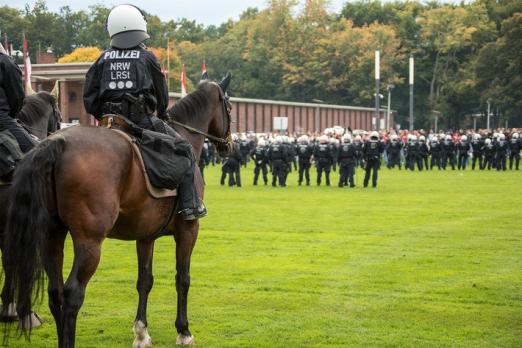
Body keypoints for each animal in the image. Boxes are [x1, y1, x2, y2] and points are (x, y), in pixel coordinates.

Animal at [2, 75, 230, 346]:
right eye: (228, 106)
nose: (228, 145)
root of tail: (58, 143)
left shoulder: (145, 237)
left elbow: (145, 281)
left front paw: (141, 332)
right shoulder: (188, 230)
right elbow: (182, 279)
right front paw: (183, 330)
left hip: (51, 236)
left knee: (55, 293)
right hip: (89, 242)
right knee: (72, 294)